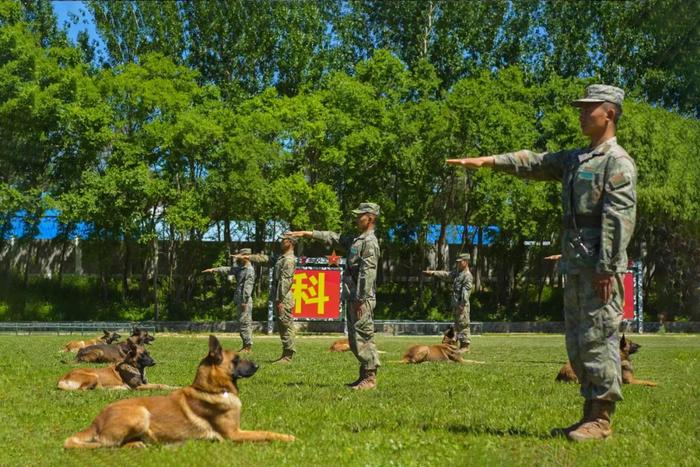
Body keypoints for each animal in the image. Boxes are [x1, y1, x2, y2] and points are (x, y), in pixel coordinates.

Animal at [64, 336, 294, 450]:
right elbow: (265, 433)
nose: (257, 365)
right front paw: (289, 437)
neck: (212, 389)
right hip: (139, 412)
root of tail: (96, 420)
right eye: (236, 360)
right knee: (104, 445)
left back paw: (140, 444)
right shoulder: (233, 434)